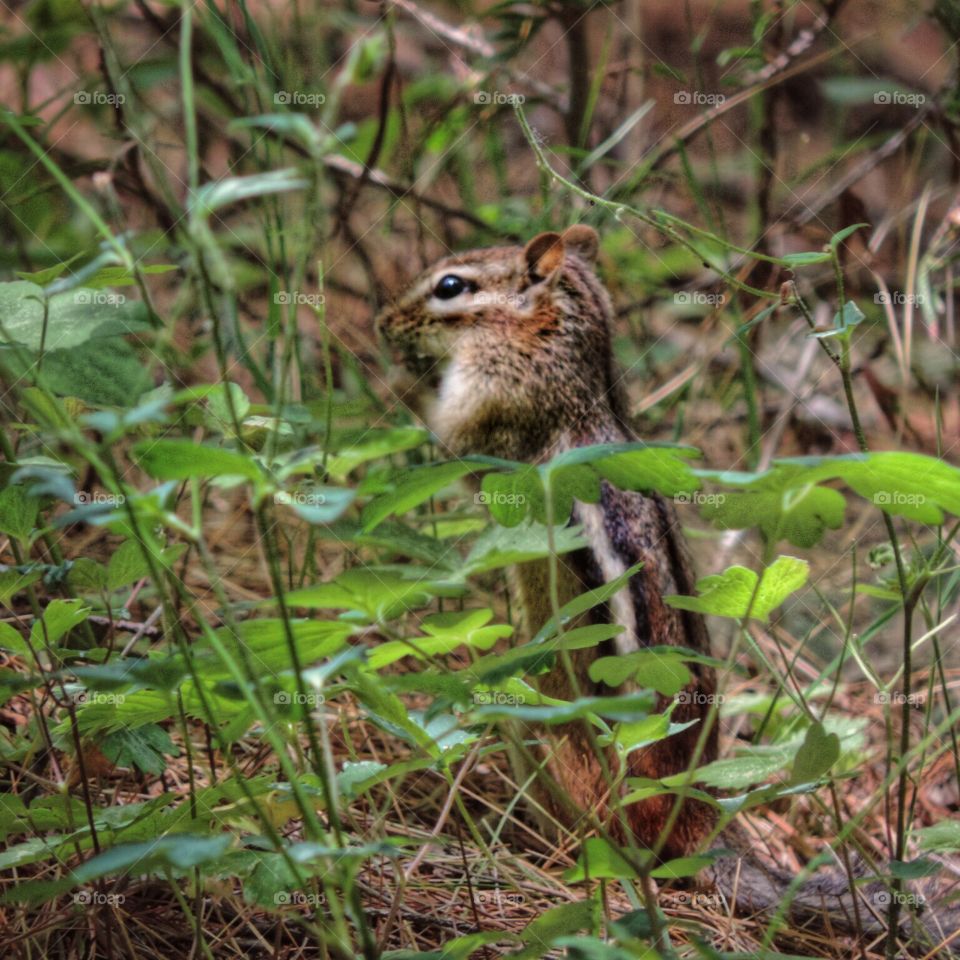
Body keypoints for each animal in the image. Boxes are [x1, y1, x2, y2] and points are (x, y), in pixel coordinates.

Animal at [376, 225, 958, 954]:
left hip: (548, 738)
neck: (564, 359)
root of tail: (701, 827)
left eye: (450, 286)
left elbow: (453, 443)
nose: (382, 322)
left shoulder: (491, 401)